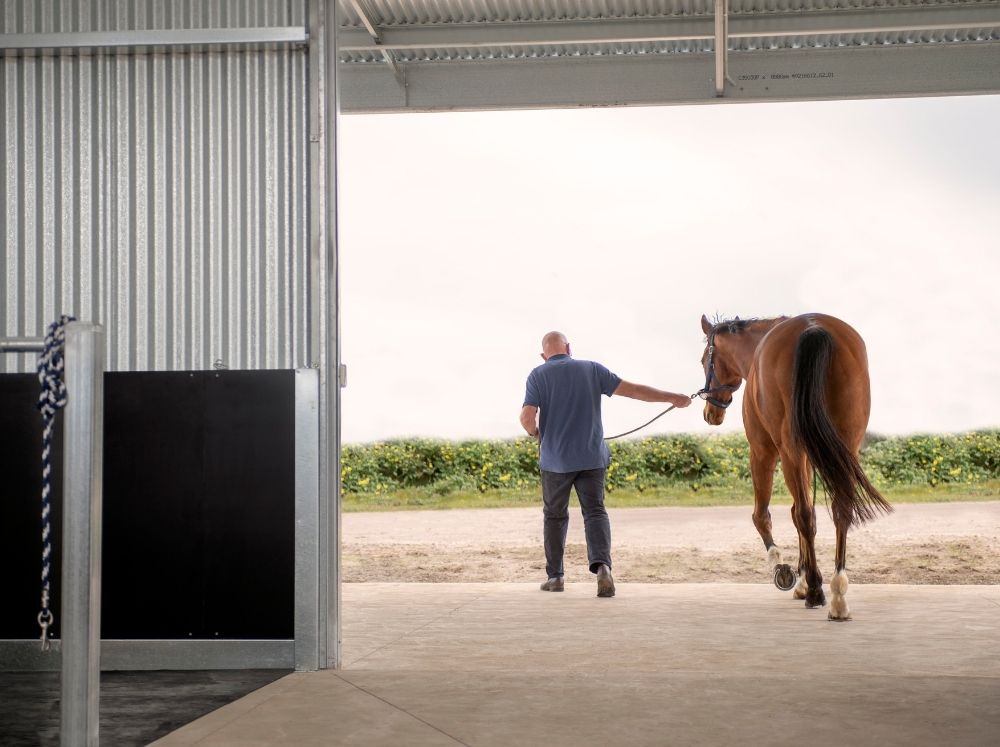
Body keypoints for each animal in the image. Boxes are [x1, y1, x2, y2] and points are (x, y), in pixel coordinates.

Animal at [696, 312, 892, 624]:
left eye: (705, 359)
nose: (710, 413)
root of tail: (813, 329)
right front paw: (806, 576)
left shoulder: (763, 452)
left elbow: (763, 516)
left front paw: (786, 571)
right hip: (846, 446)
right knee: (839, 510)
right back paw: (837, 593)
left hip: (789, 451)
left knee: (804, 515)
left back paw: (816, 592)